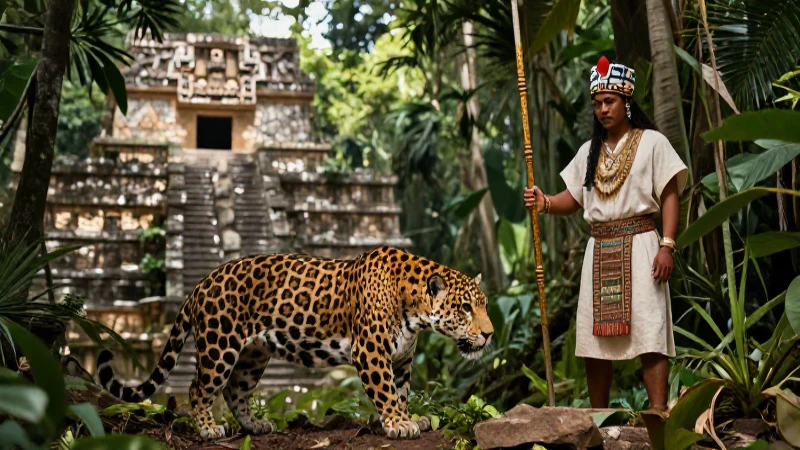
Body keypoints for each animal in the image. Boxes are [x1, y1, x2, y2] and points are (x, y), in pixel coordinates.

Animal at [96, 246, 494, 440]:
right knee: (199, 388)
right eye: (465, 308)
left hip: (253, 354)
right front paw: (399, 425)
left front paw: (409, 417)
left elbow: (401, 392)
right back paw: (208, 429)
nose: (489, 334)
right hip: (219, 345)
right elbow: (385, 392)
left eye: (485, 305)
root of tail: (201, 283)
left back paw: (254, 426)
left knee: (235, 390)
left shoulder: (401, 359)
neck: (413, 309)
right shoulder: (370, 351)